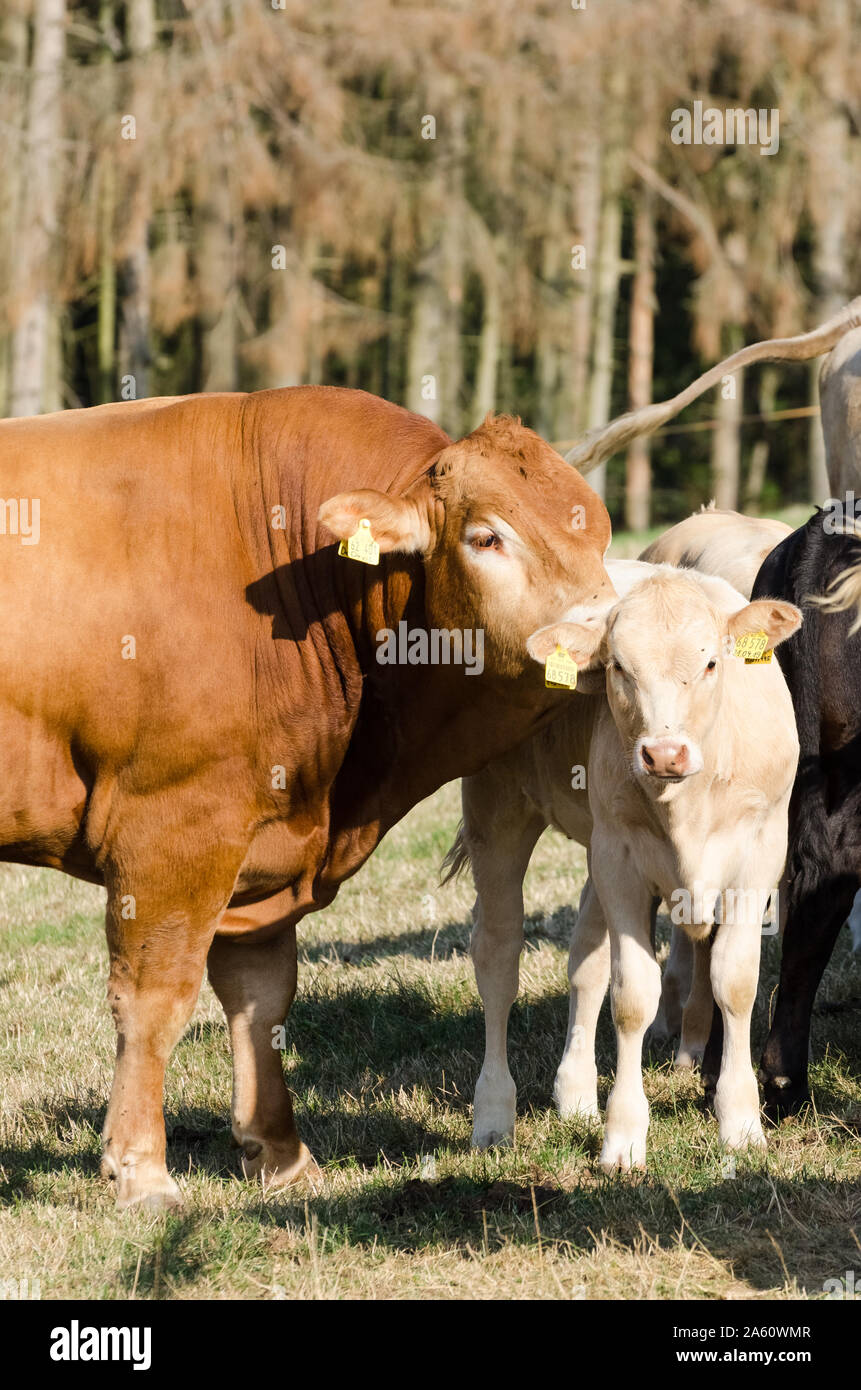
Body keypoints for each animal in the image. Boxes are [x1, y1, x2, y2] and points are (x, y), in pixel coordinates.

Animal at [445, 558, 801, 1167]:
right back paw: (493, 1115)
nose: (664, 754)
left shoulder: (759, 854)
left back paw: (575, 1096)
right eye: (617, 666)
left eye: (711, 662)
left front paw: (740, 1123)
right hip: (498, 809)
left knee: (584, 959)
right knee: (497, 957)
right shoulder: (621, 861)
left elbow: (735, 982)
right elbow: (633, 995)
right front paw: (624, 1136)